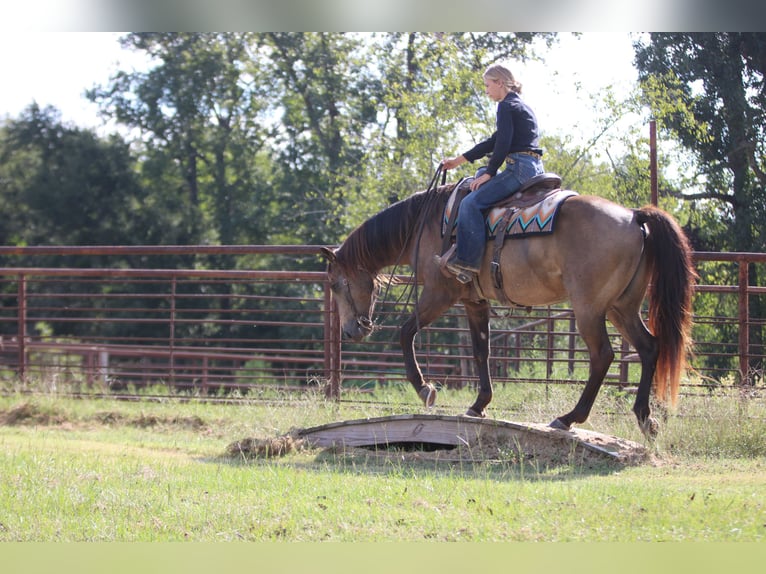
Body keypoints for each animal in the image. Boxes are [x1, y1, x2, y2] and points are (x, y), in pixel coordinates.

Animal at [320, 178, 696, 439]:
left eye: (336, 284)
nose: (352, 331)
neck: (427, 223)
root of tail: (634, 217)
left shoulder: (439, 293)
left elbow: (405, 333)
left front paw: (425, 389)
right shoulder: (474, 300)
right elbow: (481, 351)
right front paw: (478, 405)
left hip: (589, 308)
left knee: (602, 355)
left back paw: (569, 418)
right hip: (622, 306)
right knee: (649, 347)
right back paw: (645, 418)